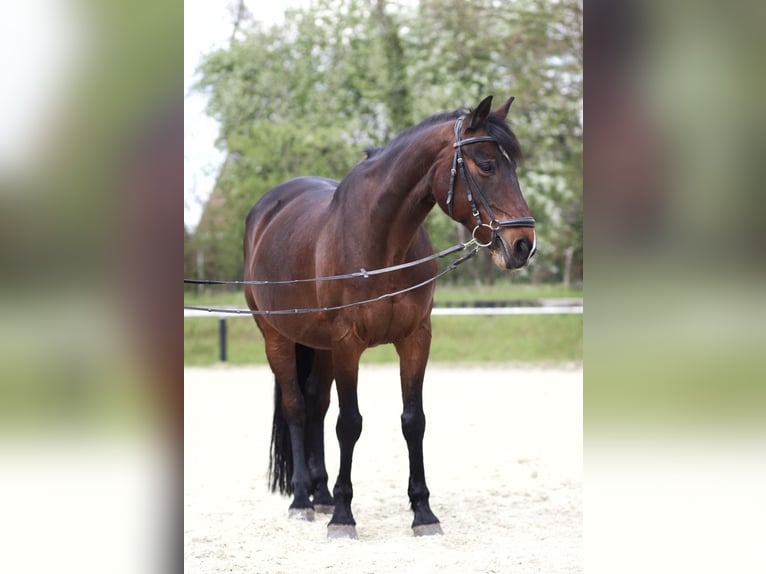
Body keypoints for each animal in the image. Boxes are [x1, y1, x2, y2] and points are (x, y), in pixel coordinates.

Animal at [243, 95, 536, 539]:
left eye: (513, 166)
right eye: (486, 164)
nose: (523, 244)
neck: (380, 243)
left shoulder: (415, 338)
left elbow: (413, 420)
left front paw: (423, 512)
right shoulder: (348, 343)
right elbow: (349, 423)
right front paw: (343, 516)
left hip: (319, 346)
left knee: (315, 404)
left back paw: (320, 493)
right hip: (276, 337)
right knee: (296, 406)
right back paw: (302, 500)